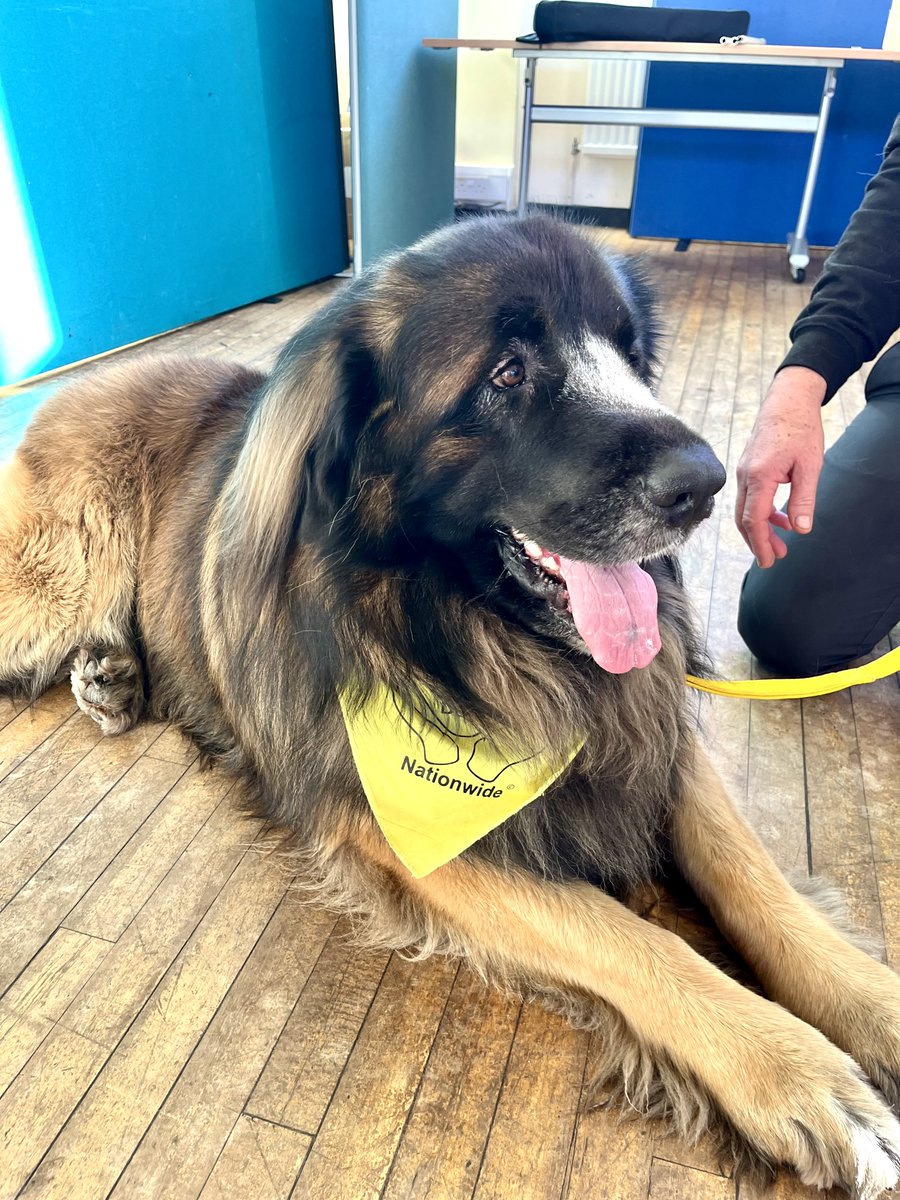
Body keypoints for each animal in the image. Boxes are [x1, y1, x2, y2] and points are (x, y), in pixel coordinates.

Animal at [1, 218, 900, 1200]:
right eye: (506, 375)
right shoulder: (409, 837)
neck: (463, 639)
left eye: (631, 355)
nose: (704, 483)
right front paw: (797, 1070)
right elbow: (633, 937)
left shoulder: (643, 735)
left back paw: (112, 673)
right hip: (53, 577)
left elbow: (751, 875)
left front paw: (874, 1006)